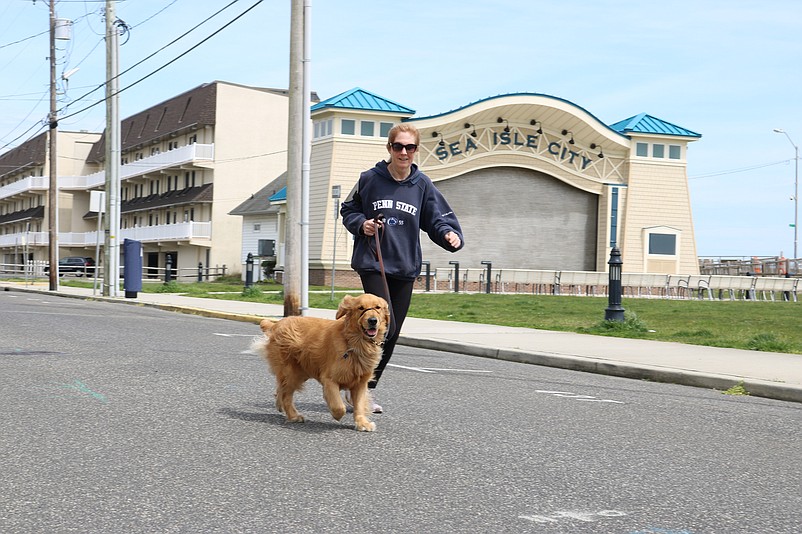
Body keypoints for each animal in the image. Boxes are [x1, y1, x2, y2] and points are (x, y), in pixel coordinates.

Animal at [250, 296, 388, 434]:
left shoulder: (360, 382)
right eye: (360, 308)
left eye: (378, 307)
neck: (354, 342)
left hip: (300, 372)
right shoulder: (329, 379)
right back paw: (293, 415)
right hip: (291, 373)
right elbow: (339, 406)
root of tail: (275, 324)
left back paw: (280, 406)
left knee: (281, 390)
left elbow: (359, 405)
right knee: (286, 395)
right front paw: (337, 415)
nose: (372, 320)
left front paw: (362, 423)